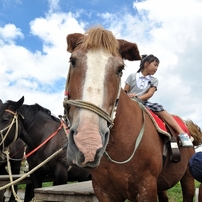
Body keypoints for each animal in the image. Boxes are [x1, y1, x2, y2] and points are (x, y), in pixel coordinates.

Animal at [62, 26, 202, 202]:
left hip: (187, 178)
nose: (88, 145)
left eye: (120, 69)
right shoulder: (103, 191)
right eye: (72, 61)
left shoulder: (146, 189)